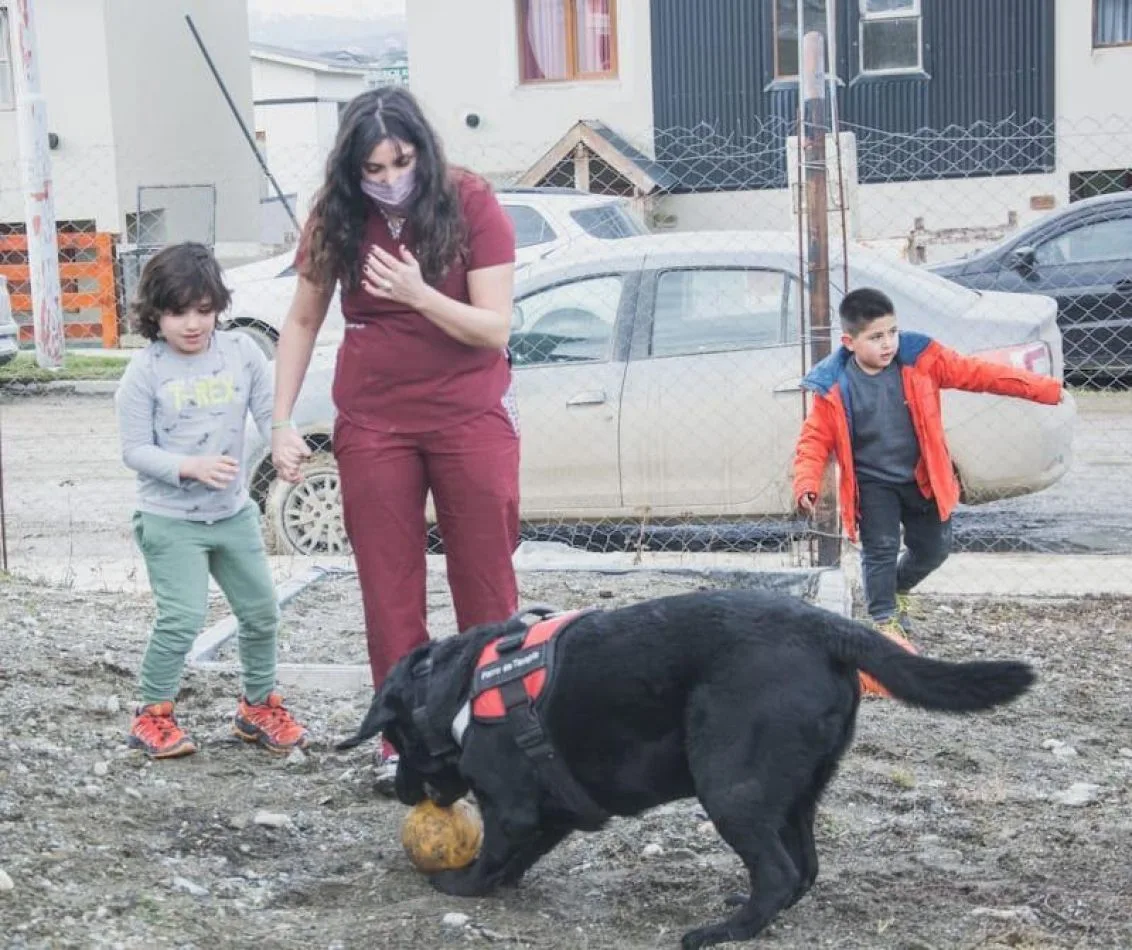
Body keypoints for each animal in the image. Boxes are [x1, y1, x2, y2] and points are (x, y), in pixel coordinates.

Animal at [337, 588, 1036, 946]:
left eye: (395, 739)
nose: (402, 794)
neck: (456, 688)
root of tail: (824, 627)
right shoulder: (554, 812)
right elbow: (521, 855)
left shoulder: (511, 807)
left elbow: (491, 856)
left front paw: (459, 885)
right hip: (789, 793)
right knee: (803, 867)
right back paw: (750, 914)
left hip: (729, 785)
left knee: (781, 872)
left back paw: (722, 931)